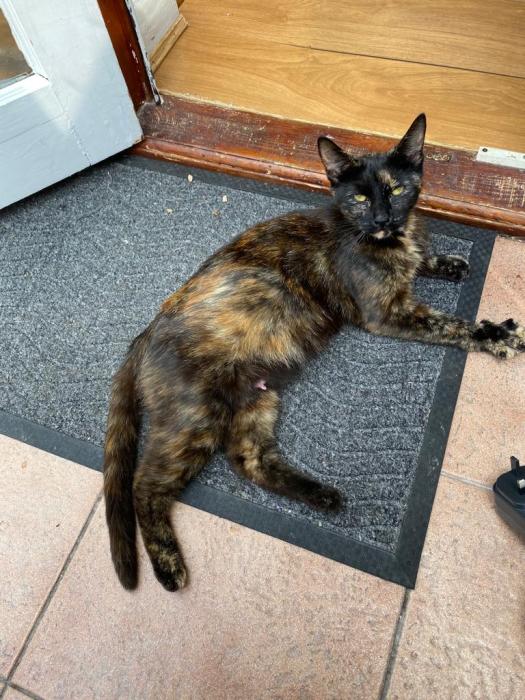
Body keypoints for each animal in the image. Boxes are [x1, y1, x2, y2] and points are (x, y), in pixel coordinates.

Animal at [104, 114, 525, 592]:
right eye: (360, 197)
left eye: (397, 190)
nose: (382, 217)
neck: (394, 238)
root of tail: (146, 331)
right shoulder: (388, 313)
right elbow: (452, 325)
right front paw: (496, 335)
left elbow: (427, 261)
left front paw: (449, 263)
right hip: (196, 417)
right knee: (145, 484)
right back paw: (169, 565)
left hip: (256, 398)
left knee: (249, 460)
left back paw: (322, 495)